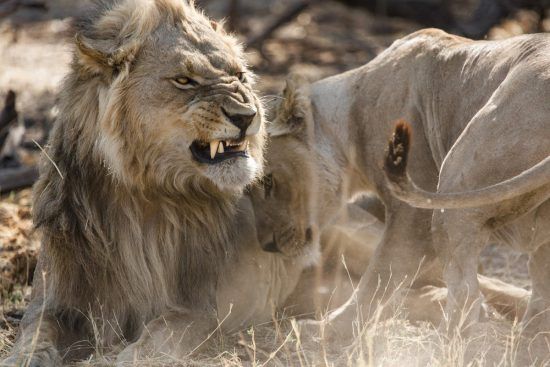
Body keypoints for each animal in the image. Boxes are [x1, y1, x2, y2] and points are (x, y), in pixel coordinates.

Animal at [1, 0, 270, 366]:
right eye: (184, 80)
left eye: (241, 76)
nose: (247, 116)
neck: (141, 195)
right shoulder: (55, 299)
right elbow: (35, 333)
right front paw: (20, 358)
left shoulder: (207, 308)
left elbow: (162, 331)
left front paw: (126, 357)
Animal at [252, 30, 544, 346]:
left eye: (268, 181)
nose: (266, 245)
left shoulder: (413, 214)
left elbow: (380, 275)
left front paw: (326, 330)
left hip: (455, 185)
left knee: (466, 293)